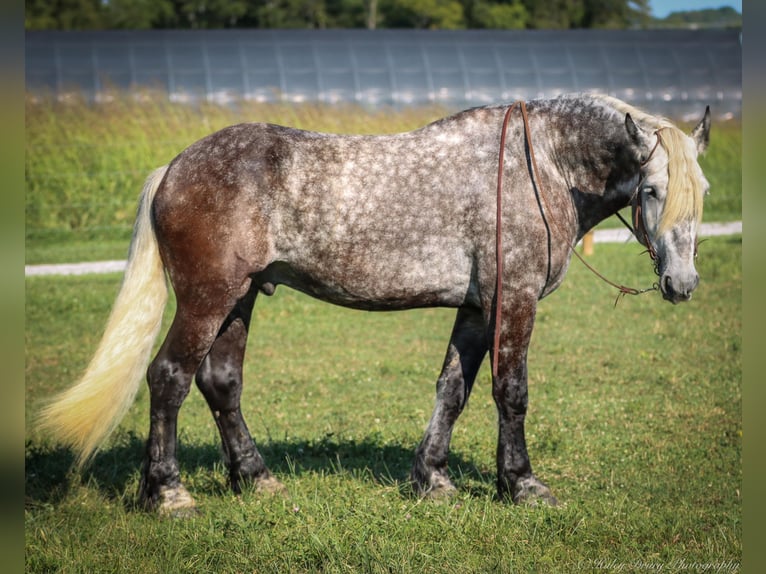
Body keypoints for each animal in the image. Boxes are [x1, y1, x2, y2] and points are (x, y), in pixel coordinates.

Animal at [40, 94, 712, 516]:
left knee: (220, 382)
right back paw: (168, 494)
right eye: (653, 190)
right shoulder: (514, 300)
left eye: (701, 190)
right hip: (208, 299)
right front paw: (521, 484)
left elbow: (453, 389)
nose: (682, 283)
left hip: (239, 299)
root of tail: (175, 167)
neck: (540, 165)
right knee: (170, 378)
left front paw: (432, 480)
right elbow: (511, 392)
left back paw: (256, 479)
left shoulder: (478, 307)